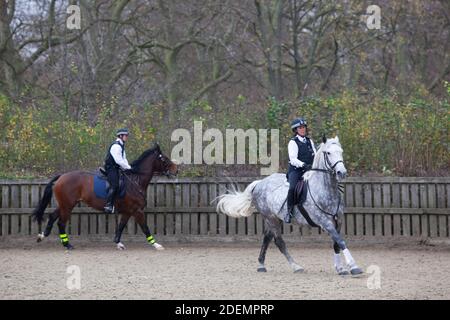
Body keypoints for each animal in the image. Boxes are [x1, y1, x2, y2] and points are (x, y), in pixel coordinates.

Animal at [31, 143, 178, 250]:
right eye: (164, 158)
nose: (176, 170)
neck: (135, 180)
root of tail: (62, 176)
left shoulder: (128, 211)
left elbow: (121, 226)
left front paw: (118, 243)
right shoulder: (137, 211)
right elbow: (145, 227)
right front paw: (156, 244)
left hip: (65, 205)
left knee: (52, 217)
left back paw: (42, 236)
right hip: (67, 206)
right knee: (61, 222)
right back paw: (67, 245)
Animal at [216, 136, 364, 276]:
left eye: (341, 151)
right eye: (328, 153)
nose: (341, 173)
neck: (324, 189)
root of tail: (260, 183)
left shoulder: (338, 221)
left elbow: (336, 244)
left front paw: (340, 269)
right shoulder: (324, 222)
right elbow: (340, 241)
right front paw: (354, 267)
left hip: (275, 219)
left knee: (266, 238)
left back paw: (261, 265)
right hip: (271, 218)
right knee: (279, 242)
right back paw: (296, 266)